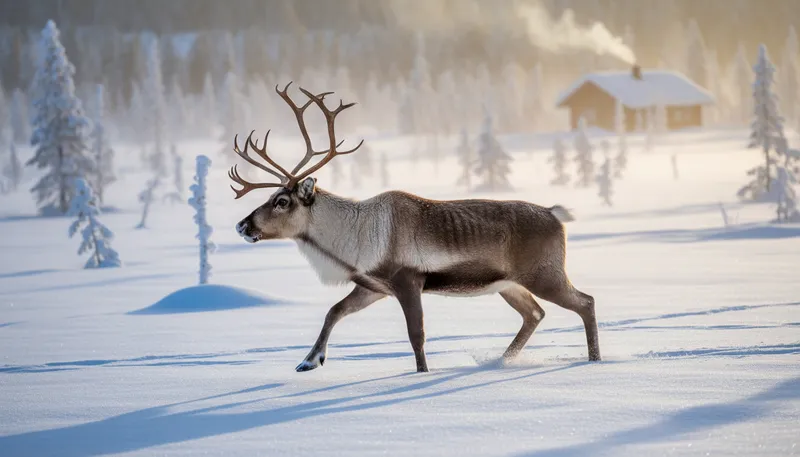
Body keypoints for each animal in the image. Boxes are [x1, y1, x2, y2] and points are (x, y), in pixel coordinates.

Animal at [231, 82, 600, 373]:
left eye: (282, 201)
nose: (242, 225)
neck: (352, 240)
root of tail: (555, 214)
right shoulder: (374, 286)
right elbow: (334, 311)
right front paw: (309, 361)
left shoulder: (407, 280)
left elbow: (416, 336)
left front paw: (421, 374)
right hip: (508, 284)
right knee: (535, 314)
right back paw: (501, 360)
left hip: (544, 273)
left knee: (585, 302)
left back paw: (594, 360)